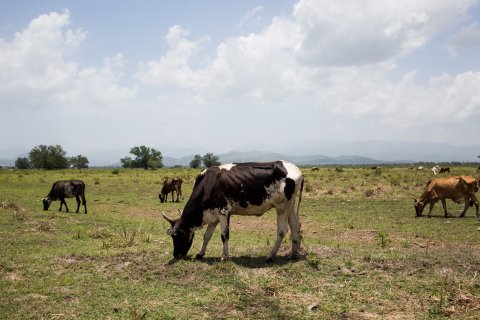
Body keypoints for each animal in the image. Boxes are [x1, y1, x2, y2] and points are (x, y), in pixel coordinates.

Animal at [161, 161, 304, 262]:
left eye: (177, 236)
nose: (176, 255)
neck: (207, 184)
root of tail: (297, 170)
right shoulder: (213, 216)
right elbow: (207, 236)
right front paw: (201, 253)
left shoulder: (224, 212)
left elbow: (224, 235)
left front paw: (224, 256)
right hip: (290, 206)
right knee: (295, 226)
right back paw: (293, 254)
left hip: (282, 207)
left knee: (282, 231)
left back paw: (270, 256)